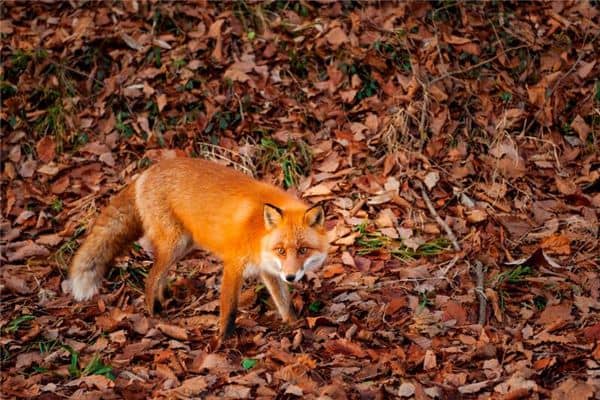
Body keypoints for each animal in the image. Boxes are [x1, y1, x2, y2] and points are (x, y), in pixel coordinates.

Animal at [68, 158, 330, 340]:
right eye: (281, 250)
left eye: (303, 250)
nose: (291, 276)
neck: (258, 232)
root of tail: (145, 173)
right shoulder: (234, 265)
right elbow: (229, 309)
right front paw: (223, 341)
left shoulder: (268, 269)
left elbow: (283, 301)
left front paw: (294, 324)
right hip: (175, 244)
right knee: (150, 278)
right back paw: (153, 313)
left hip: (182, 246)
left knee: (160, 273)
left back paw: (163, 299)